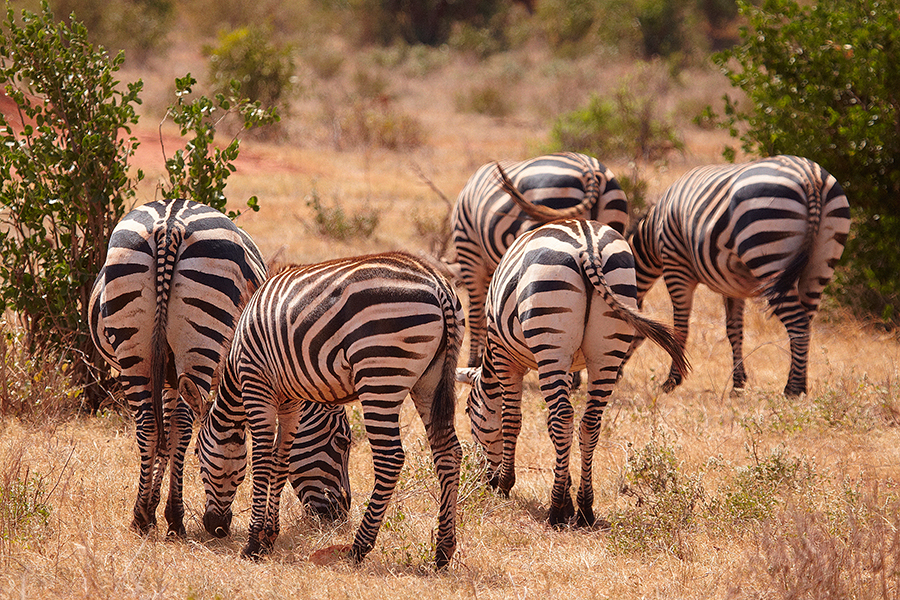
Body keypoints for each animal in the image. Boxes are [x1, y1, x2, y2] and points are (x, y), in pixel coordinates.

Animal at [90, 199, 352, 536]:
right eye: (343, 441)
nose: (341, 512)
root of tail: (170, 221)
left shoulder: (171, 378)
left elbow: (167, 434)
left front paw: (152, 503)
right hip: (200, 338)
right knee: (182, 427)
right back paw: (175, 517)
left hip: (134, 345)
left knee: (149, 424)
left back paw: (141, 516)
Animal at [197, 252, 464, 568]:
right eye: (342, 442)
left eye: (197, 458)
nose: (216, 527)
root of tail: (439, 284)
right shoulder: (289, 401)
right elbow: (281, 461)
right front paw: (269, 537)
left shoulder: (257, 386)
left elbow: (261, 461)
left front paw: (252, 543)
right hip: (429, 380)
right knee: (449, 452)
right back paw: (443, 551)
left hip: (380, 374)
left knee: (390, 459)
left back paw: (359, 547)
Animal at [458, 218, 688, 528]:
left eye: (469, 411)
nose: (485, 482)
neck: (491, 359)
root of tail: (587, 245)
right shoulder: (566, 368)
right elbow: (549, 426)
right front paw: (568, 497)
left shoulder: (506, 357)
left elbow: (512, 421)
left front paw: (506, 484)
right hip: (607, 346)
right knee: (588, 422)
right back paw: (585, 508)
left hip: (549, 336)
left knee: (564, 417)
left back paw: (555, 509)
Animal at [624, 155, 852, 398]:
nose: (618, 376)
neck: (653, 234)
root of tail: (810, 176)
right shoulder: (732, 284)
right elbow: (734, 330)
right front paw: (738, 384)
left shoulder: (676, 265)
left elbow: (680, 327)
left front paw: (671, 381)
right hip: (822, 261)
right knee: (806, 321)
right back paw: (798, 384)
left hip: (768, 251)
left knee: (798, 323)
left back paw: (793, 389)